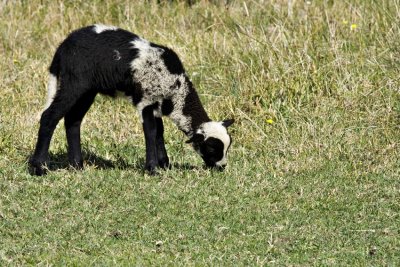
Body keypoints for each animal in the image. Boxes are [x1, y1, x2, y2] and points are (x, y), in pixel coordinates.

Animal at [30, 24, 234, 176]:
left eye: (227, 147)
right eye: (211, 149)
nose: (221, 167)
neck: (176, 91)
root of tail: (62, 47)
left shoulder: (156, 103)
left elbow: (160, 132)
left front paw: (164, 164)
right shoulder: (145, 100)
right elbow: (151, 132)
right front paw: (152, 168)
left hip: (87, 90)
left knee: (73, 121)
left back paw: (77, 166)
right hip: (74, 83)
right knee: (49, 116)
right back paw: (39, 167)